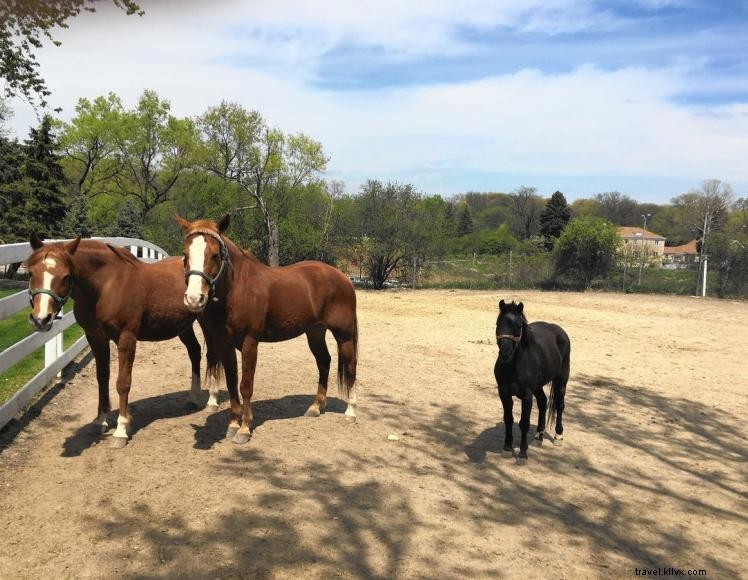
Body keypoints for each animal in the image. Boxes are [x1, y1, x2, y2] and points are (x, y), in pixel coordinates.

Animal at [25, 233, 231, 446]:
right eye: (31, 273)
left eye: (66, 276)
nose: (41, 319)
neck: (107, 285)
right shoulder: (96, 339)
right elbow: (102, 378)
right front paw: (100, 420)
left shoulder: (126, 339)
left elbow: (123, 382)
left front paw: (121, 429)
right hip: (183, 325)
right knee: (195, 351)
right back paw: (194, 397)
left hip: (207, 323)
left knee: (212, 355)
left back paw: (212, 400)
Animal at [177, 213, 360, 444]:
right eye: (185, 254)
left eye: (215, 254)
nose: (194, 299)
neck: (239, 288)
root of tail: (343, 277)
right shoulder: (225, 345)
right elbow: (231, 382)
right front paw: (233, 424)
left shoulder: (250, 343)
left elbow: (245, 386)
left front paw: (244, 429)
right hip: (315, 332)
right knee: (324, 362)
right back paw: (316, 407)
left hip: (344, 335)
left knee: (351, 367)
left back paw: (351, 412)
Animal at [494, 302, 568, 464]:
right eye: (498, 323)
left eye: (519, 325)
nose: (505, 353)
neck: (513, 365)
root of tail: (559, 331)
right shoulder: (504, 393)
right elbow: (508, 419)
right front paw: (507, 448)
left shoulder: (527, 396)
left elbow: (524, 423)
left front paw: (522, 454)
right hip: (538, 386)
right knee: (543, 402)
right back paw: (539, 436)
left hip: (562, 380)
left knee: (560, 405)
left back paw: (558, 436)